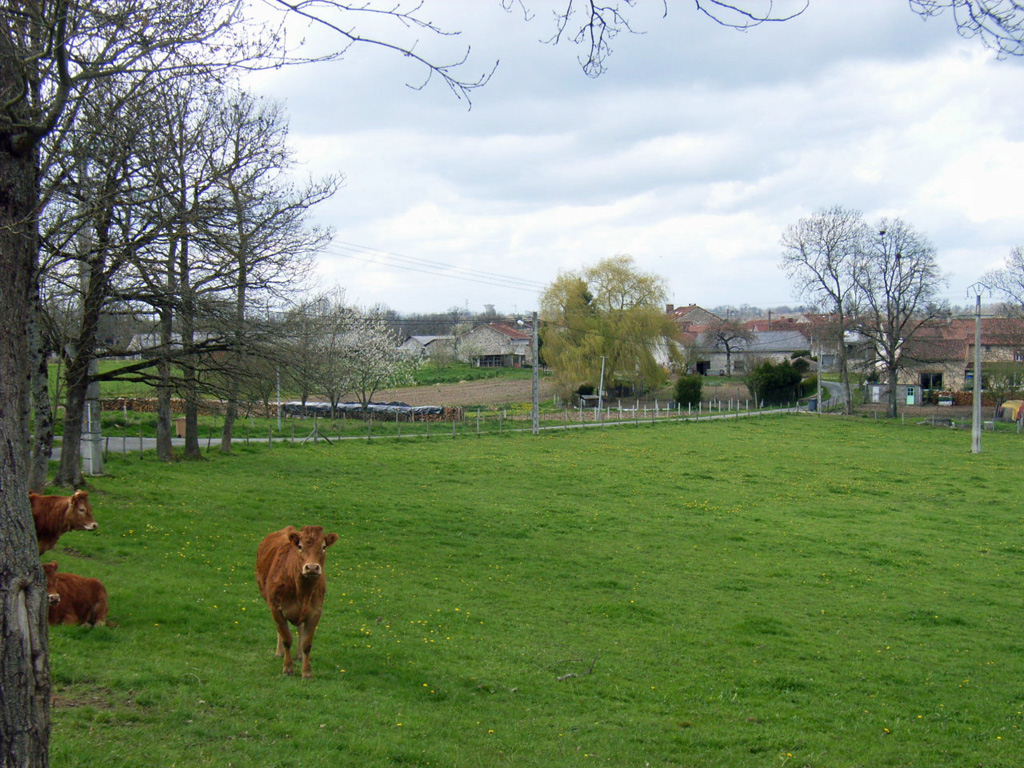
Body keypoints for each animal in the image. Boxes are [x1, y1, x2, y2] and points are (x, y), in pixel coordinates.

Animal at [256, 528, 339, 679]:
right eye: (300, 546)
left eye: (323, 547)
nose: (312, 568)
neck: (302, 591)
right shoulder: (276, 608)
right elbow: (286, 638)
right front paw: (288, 669)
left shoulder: (316, 611)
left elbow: (307, 643)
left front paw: (307, 672)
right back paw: (279, 652)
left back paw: (299, 656)